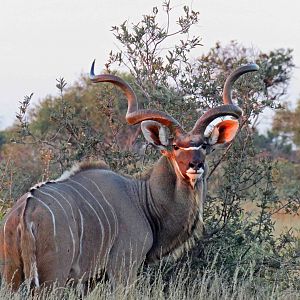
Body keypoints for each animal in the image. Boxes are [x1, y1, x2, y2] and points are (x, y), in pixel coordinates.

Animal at [0, 62, 258, 290]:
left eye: (204, 145)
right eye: (175, 146)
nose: (196, 164)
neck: (143, 199)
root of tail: (24, 213)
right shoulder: (123, 267)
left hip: (13, 277)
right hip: (52, 279)